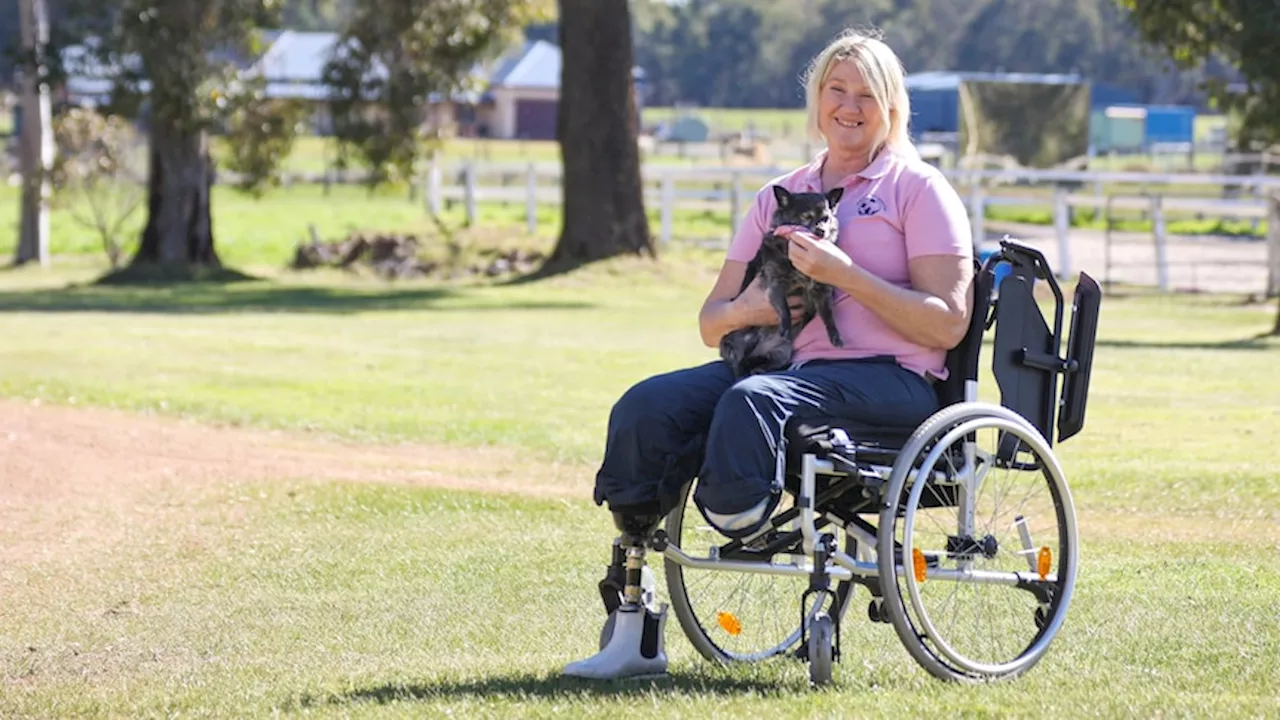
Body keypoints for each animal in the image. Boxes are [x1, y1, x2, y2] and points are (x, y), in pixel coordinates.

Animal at [721, 183, 839, 376]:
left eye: (826, 218)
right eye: (806, 217)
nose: (821, 231)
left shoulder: (820, 290)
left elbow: (828, 314)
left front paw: (835, 334)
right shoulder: (775, 286)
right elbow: (785, 310)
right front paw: (786, 326)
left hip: (782, 354)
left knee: (759, 362)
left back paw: (758, 368)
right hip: (737, 343)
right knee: (739, 364)